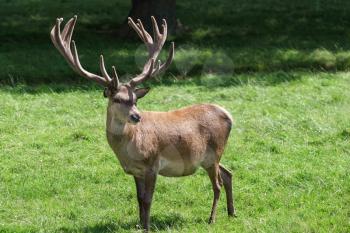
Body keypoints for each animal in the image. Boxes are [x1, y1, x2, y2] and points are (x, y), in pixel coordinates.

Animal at [50, 15, 237, 231]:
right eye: (117, 99)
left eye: (135, 100)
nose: (136, 116)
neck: (129, 149)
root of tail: (229, 115)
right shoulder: (135, 171)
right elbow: (139, 199)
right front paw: (139, 224)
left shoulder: (152, 164)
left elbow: (148, 199)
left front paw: (147, 226)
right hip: (210, 157)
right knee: (228, 173)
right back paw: (232, 212)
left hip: (214, 152)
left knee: (217, 184)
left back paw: (212, 218)